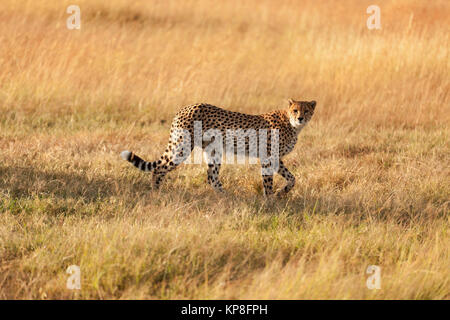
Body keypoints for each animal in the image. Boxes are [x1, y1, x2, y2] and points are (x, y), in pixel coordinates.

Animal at [120, 99, 316, 196]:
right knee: (159, 168)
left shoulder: (276, 158)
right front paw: (269, 201)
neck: (291, 124)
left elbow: (292, 178)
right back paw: (156, 193)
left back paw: (226, 197)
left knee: (211, 177)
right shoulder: (268, 157)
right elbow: (268, 182)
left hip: (213, 151)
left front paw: (282, 193)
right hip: (182, 146)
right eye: (295, 110)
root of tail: (185, 108)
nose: (300, 118)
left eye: (306, 110)